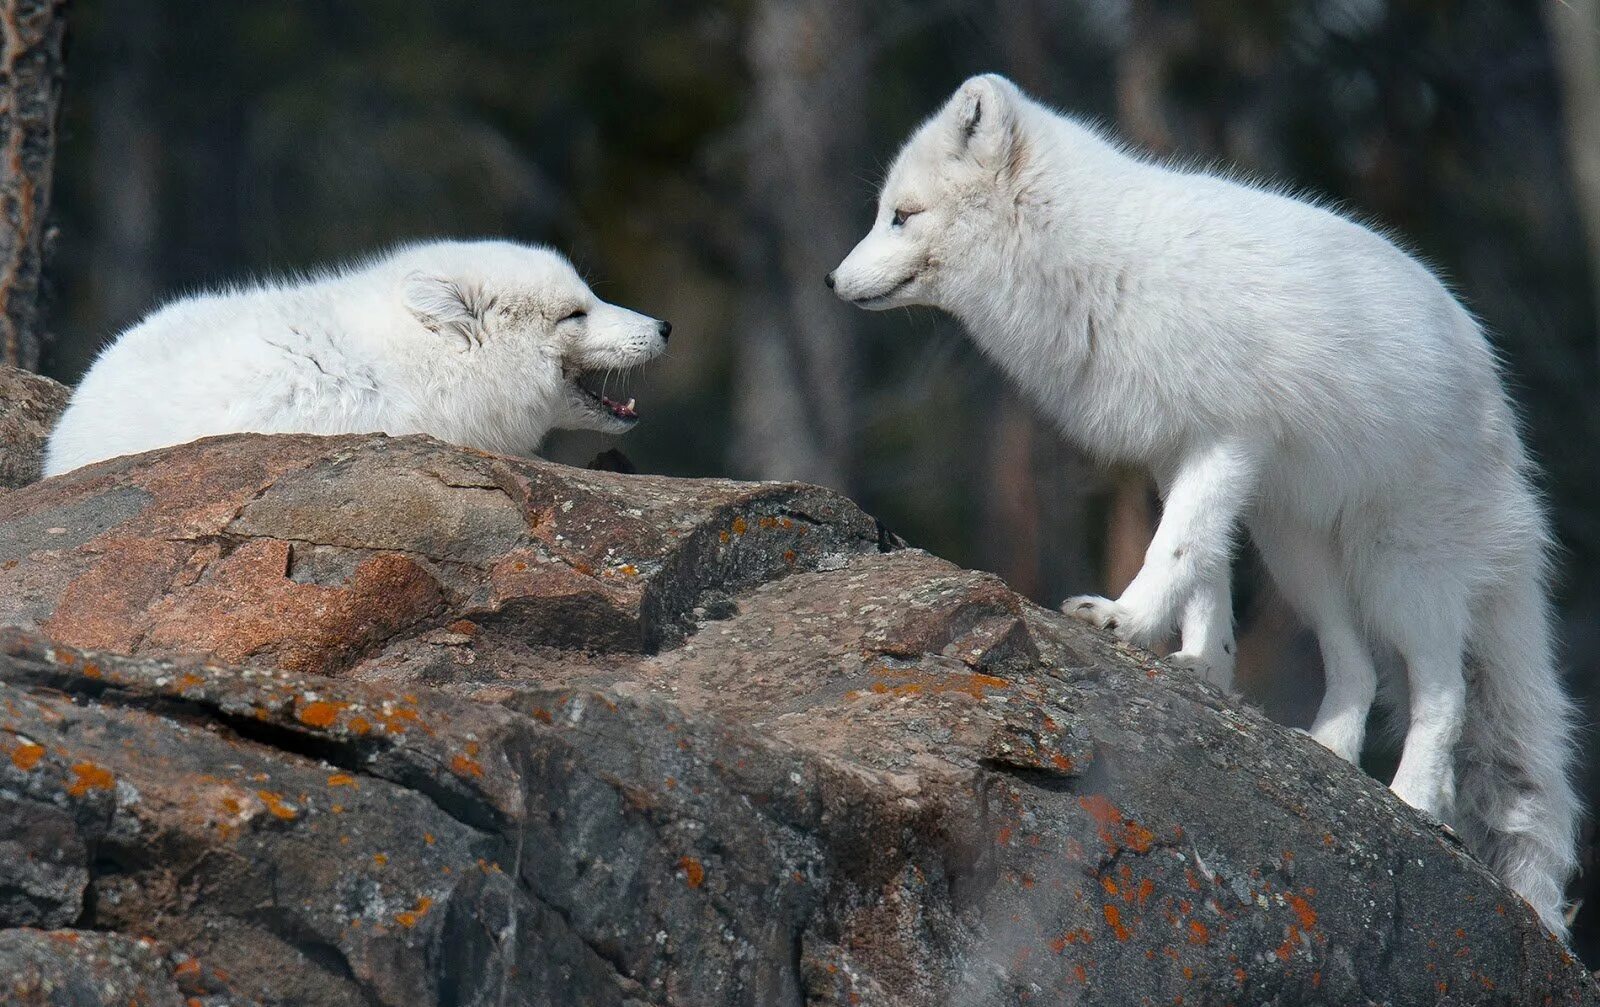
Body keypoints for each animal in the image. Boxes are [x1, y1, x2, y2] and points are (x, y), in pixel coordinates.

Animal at [832, 74, 1580, 941]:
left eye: (902, 215)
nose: (831, 281)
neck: (1097, 261)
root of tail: (1498, 397)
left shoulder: (1227, 439)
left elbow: (1175, 551)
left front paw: (1122, 620)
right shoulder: (1178, 450)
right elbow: (1209, 575)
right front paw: (1202, 665)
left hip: (1399, 571)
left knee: (1444, 693)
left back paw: (1412, 800)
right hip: (1299, 556)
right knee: (1358, 670)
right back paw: (1326, 756)